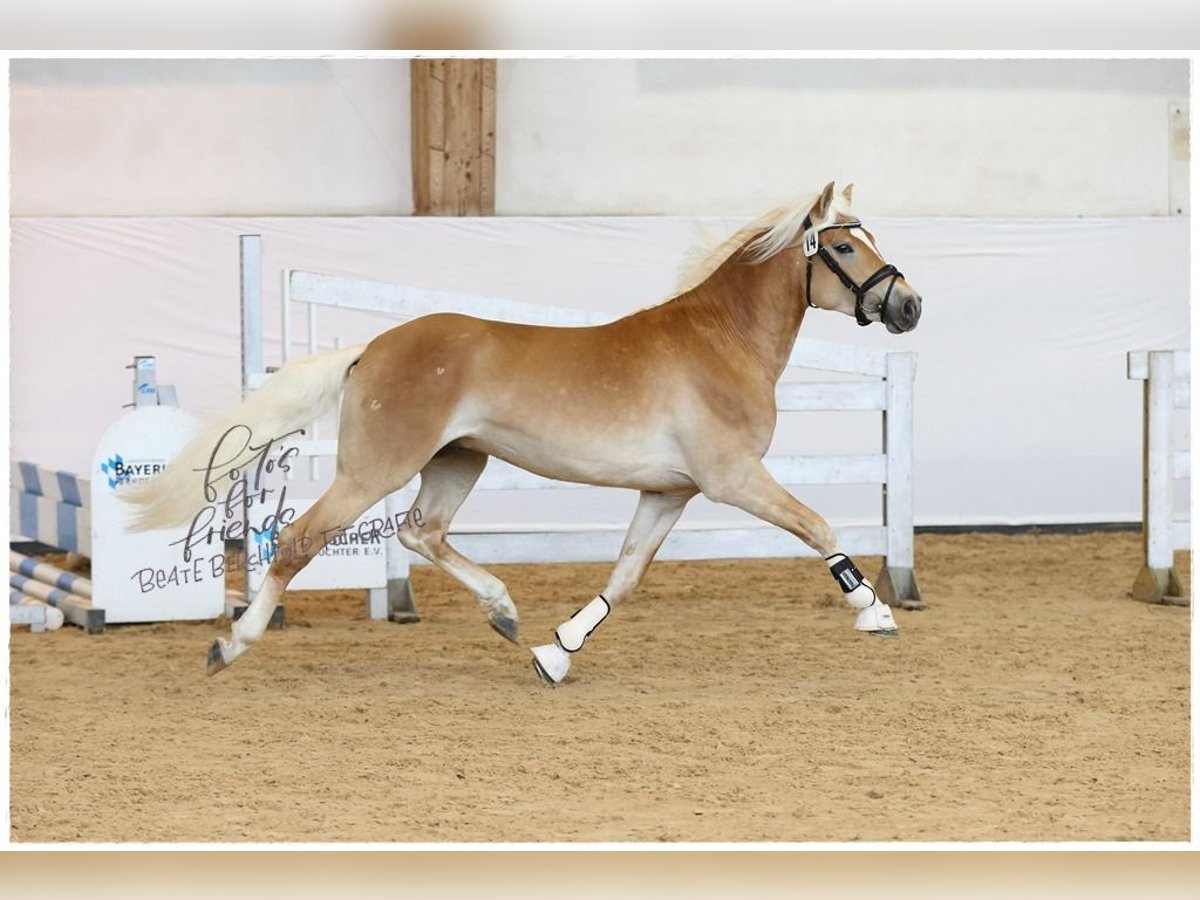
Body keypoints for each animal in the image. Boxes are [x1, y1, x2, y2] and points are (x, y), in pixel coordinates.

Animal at [124, 184, 916, 691]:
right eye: (845, 245)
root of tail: (373, 347)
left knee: (420, 531)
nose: (907, 307)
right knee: (299, 541)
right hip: (374, 469)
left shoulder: (669, 492)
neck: (719, 343)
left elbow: (623, 580)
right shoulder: (733, 479)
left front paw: (555, 653)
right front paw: (873, 611)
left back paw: (504, 613)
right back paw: (231, 645)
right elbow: (819, 526)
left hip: (458, 462)